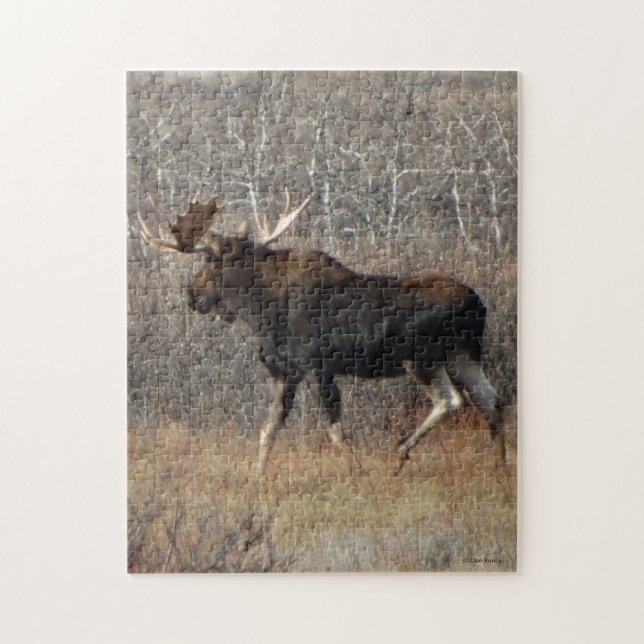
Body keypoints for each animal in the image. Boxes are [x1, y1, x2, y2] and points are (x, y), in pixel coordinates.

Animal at [137, 190, 505, 475]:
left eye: (210, 264)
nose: (192, 295)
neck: (258, 312)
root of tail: (478, 303)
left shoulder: (317, 368)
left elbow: (335, 432)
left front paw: (358, 471)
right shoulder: (284, 373)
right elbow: (268, 430)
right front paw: (256, 476)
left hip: (423, 358)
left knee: (452, 400)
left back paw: (400, 453)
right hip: (463, 355)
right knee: (491, 400)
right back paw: (500, 462)